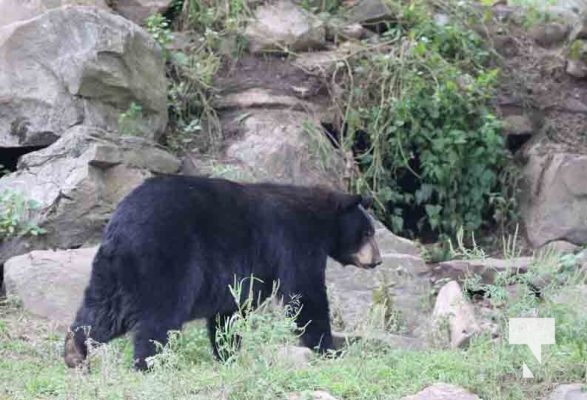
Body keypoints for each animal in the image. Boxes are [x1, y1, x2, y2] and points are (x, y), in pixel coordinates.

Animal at [63, 177, 382, 370]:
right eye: (367, 232)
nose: (377, 260)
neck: (320, 220)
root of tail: (120, 225)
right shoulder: (294, 241)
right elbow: (306, 295)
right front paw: (331, 349)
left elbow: (230, 312)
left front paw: (228, 355)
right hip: (165, 259)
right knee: (159, 318)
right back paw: (150, 363)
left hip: (114, 270)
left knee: (102, 312)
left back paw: (74, 351)